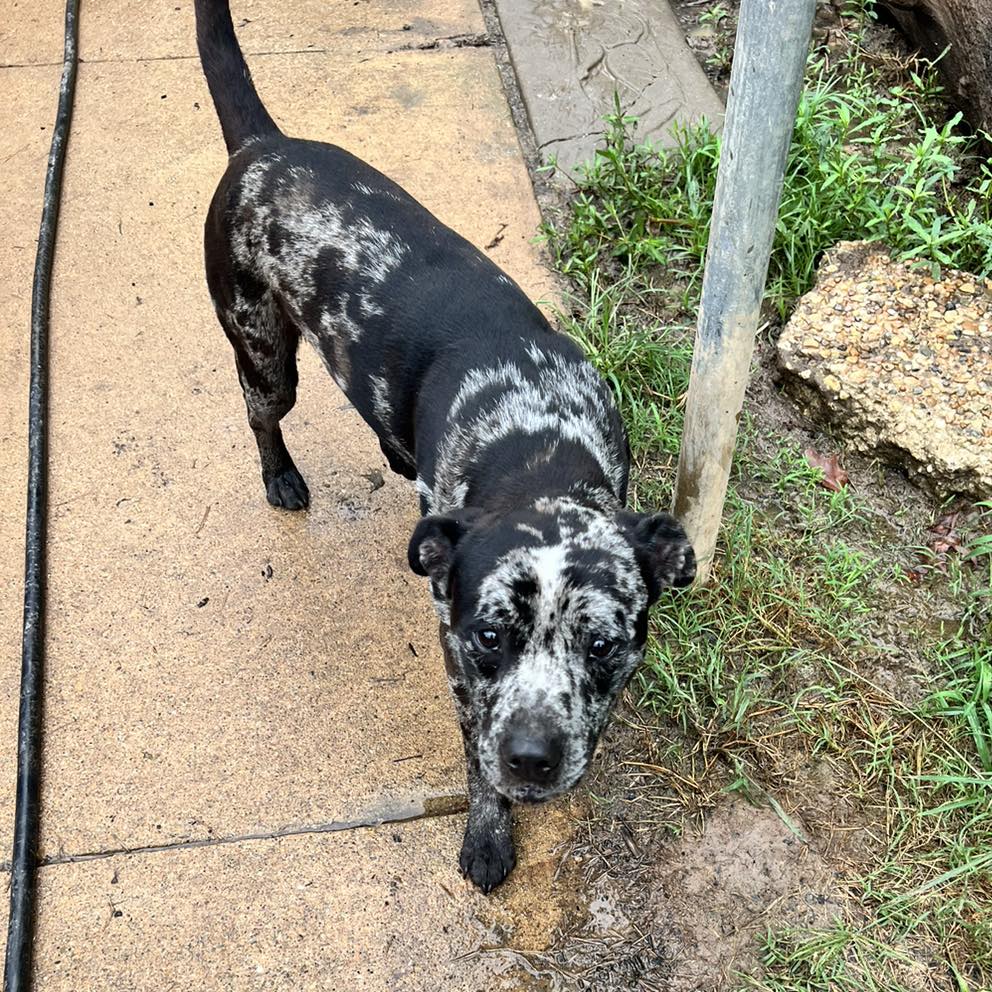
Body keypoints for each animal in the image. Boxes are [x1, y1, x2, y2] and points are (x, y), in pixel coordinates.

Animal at [192, 0, 688, 896]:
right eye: (490, 637)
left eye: (602, 645)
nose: (532, 758)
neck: (535, 440)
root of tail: (261, 146)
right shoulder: (459, 665)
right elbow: (473, 759)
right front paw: (488, 835)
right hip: (263, 353)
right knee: (259, 412)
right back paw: (281, 475)